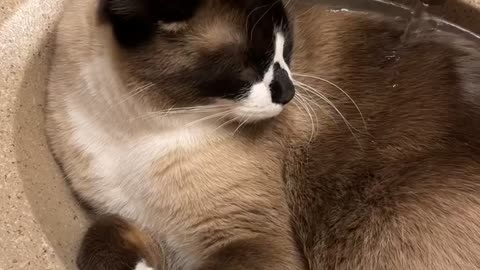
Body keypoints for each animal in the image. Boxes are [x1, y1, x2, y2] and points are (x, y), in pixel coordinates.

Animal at [45, 0, 480, 268]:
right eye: (248, 66)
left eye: (287, 52)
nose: (290, 93)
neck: (135, 131)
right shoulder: (131, 222)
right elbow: (101, 236)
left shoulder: (244, 237)